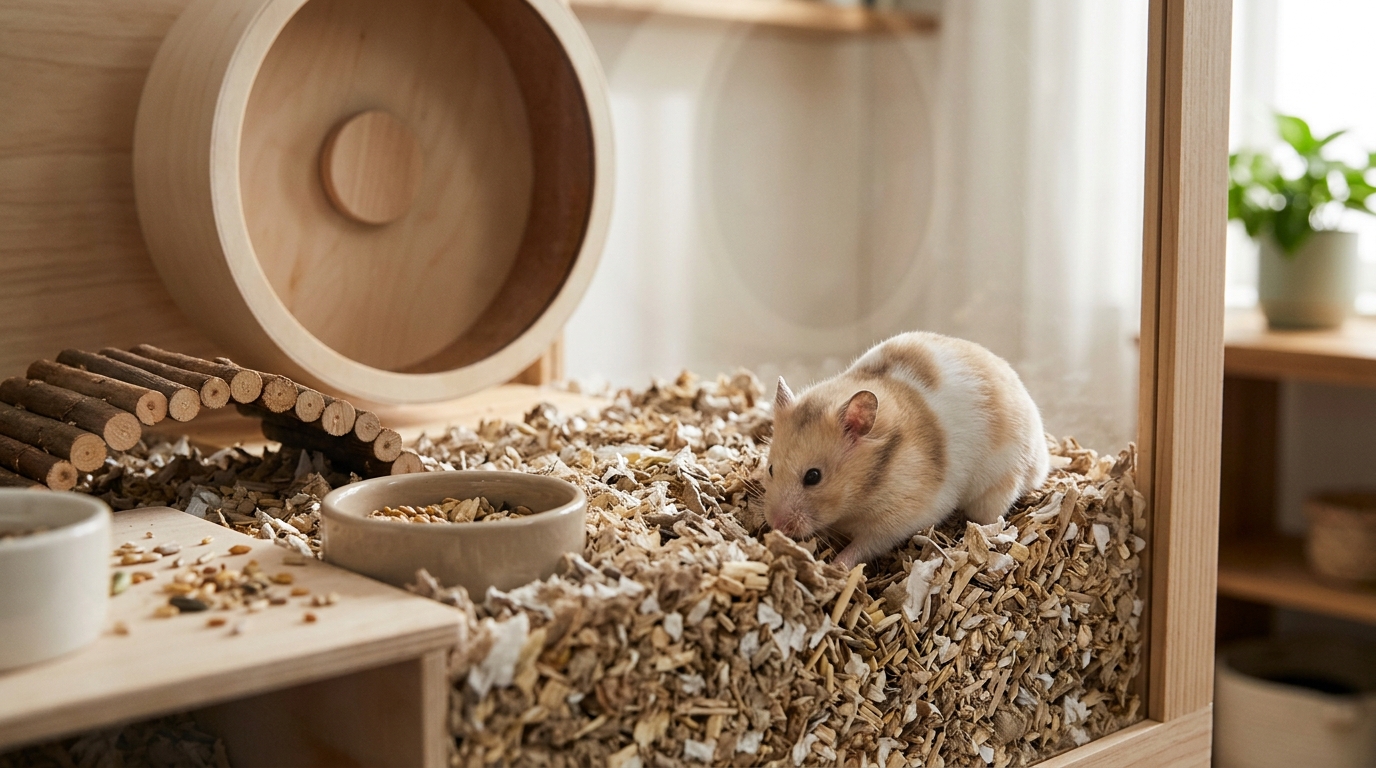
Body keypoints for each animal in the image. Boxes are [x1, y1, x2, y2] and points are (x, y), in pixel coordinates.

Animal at [762, 331, 1050, 570]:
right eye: (770, 469)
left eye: (813, 477)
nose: (776, 526)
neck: (869, 484)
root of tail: (1043, 459)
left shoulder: (897, 520)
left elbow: (863, 546)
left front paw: (835, 567)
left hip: (996, 488)